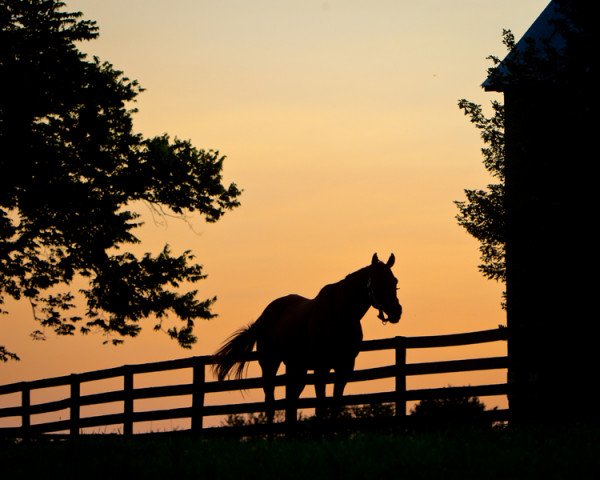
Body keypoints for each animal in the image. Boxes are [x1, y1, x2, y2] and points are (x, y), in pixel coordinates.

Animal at [211, 253, 404, 422]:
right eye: (378, 281)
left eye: (394, 281)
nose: (396, 311)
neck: (340, 315)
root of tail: (264, 316)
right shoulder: (321, 367)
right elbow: (320, 406)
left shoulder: (344, 368)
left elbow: (335, 405)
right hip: (270, 364)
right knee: (270, 403)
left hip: (296, 368)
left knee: (291, 402)